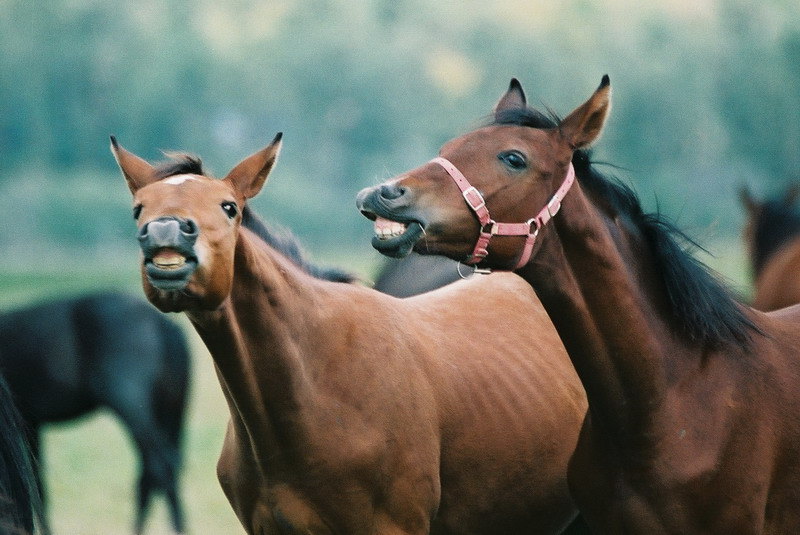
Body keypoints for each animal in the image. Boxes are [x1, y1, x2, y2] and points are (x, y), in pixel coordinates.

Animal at [0, 294, 190, 535]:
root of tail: (163, 324)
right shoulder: (33, 425)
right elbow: (37, 484)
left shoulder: (27, 424)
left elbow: (35, 485)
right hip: (166, 413)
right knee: (151, 474)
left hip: (131, 408)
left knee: (160, 468)